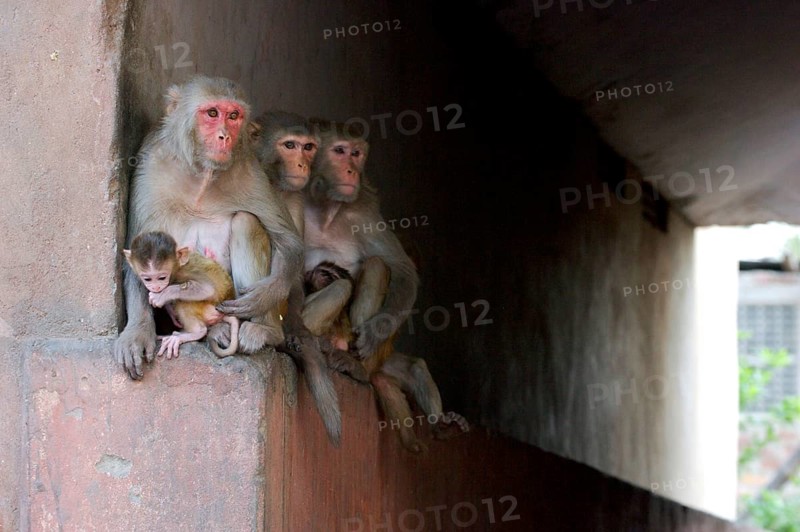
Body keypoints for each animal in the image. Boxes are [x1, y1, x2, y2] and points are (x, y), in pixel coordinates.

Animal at [114, 76, 341, 446]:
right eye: (212, 113)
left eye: (234, 116)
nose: (225, 136)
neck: (201, 176)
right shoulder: (149, 164)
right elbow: (137, 247)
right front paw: (136, 333)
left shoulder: (249, 170)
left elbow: (289, 242)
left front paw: (262, 298)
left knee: (246, 221)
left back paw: (263, 329)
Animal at [301, 120, 469, 452]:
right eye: (340, 151)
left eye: (356, 153)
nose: (353, 170)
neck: (326, 209)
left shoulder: (362, 211)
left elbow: (401, 269)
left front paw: (376, 330)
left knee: (379, 265)